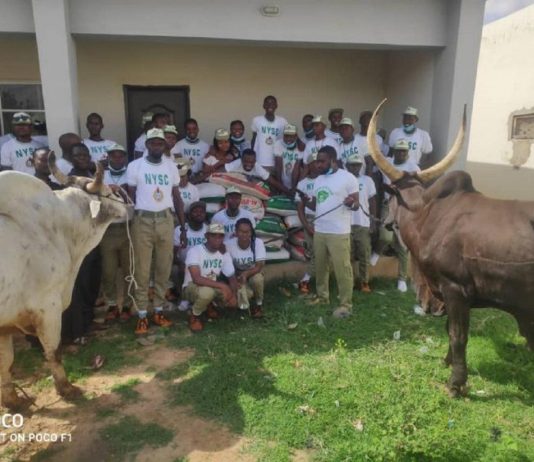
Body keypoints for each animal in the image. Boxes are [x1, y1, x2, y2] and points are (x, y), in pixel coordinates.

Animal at [0, 154, 132, 410]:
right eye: (108, 191)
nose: (129, 205)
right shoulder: (47, 306)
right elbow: (54, 351)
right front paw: (67, 389)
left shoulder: (4, 326)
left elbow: (6, 362)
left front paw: (12, 400)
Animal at [367, 99, 534, 397]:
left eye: (391, 197)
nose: (384, 221)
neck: (427, 215)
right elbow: (448, 330)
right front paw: (447, 362)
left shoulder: (455, 290)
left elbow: (458, 335)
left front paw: (456, 383)